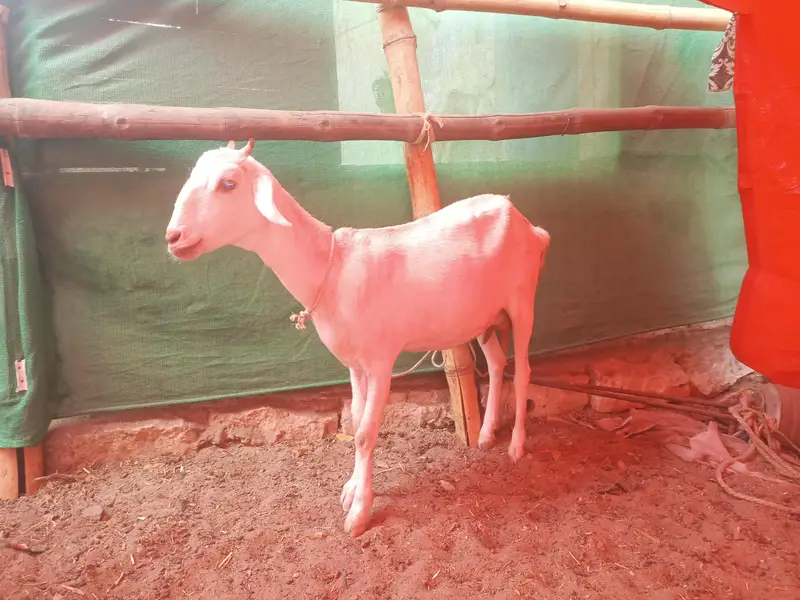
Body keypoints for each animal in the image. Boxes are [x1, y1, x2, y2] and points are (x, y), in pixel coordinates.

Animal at [165, 139, 551, 537]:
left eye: (228, 184)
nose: (173, 237)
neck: (331, 269)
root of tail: (529, 226)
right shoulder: (354, 364)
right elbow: (353, 418)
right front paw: (351, 490)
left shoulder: (381, 360)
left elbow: (366, 432)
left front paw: (359, 513)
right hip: (484, 316)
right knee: (496, 363)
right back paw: (487, 434)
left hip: (522, 301)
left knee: (522, 370)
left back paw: (516, 446)